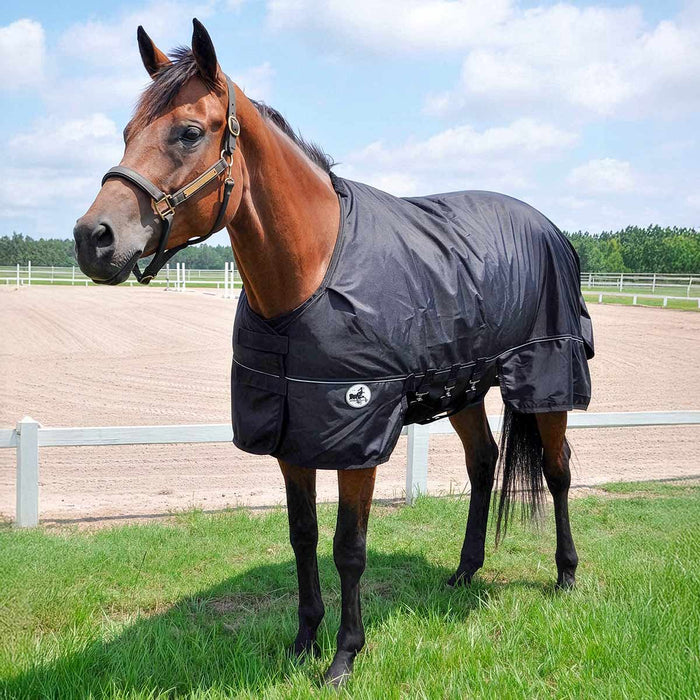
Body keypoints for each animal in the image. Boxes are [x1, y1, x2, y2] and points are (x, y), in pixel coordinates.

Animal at [73, 20, 594, 686]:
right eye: (126, 131)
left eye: (189, 132)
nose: (93, 239)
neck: (312, 272)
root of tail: (548, 226)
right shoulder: (291, 433)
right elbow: (304, 536)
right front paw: (303, 641)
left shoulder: (357, 435)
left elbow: (349, 549)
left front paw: (345, 655)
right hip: (464, 387)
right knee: (483, 464)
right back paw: (464, 571)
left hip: (546, 377)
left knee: (557, 471)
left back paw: (566, 575)